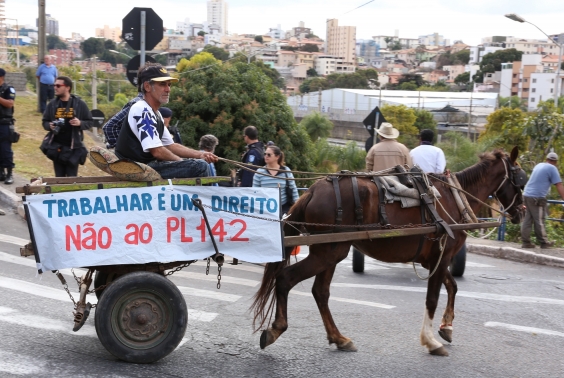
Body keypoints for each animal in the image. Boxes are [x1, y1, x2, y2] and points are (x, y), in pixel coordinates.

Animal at [251, 146, 524, 356]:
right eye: (520, 179)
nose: (521, 212)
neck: (453, 197)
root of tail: (313, 191)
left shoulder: (435, 259)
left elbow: (453, 286)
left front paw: (446, 327)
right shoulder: (442, 256)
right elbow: (433, 298)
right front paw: (431, 341)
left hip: (330, 253)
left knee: (320, 292)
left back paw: (339, 338)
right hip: (328, 252)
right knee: (285, 279)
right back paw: (276, 328)